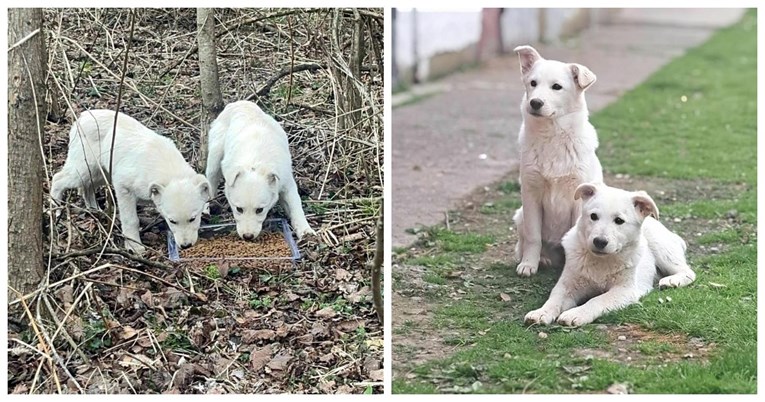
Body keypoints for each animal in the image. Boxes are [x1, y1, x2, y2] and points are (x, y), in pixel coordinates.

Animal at [50, 109, 210, 254]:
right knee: (58, 179)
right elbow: (131, 220)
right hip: (83, 168)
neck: (169, 170)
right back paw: (55, 210)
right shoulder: (123, 187)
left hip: (100, 172)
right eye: (172, 221)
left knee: (87, 187)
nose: (186, 246)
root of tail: (81, 118)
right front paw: (135, 246)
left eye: (193, 219)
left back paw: (95, 210)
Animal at [204, 100, 314, 240]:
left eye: (259, 210)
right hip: (215, 156)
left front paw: (306, 231)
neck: (255, 163)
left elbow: (296, 205)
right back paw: (206, 207)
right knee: (210, 181)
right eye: (239, 209)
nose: (247, 237)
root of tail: (239, 102)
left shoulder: (286, 182)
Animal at [512, 44, 604, 276]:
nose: (535, 103)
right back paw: (542, 259)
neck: (552, 136)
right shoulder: (531, 195)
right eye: (533, 83)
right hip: (520, 216)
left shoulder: (578, 198)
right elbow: (533, 237)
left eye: (557, 87)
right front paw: (529, 264)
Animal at [524, 182, 696, 326]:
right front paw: (541, 312)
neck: (602, 261)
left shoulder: (625, 290)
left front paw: (576, 314)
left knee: (688, 272)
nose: (599, 242)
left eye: (619, 220)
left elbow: (597, 300)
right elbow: (554, 298)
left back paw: (672, 281)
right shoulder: (568, 284)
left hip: (661, 248)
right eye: (593, 216)